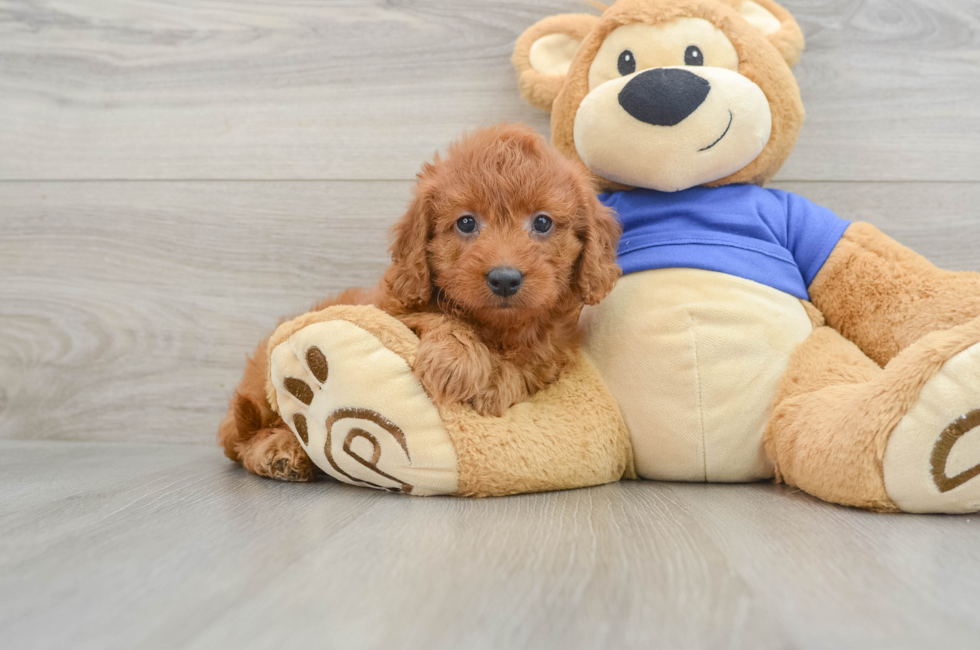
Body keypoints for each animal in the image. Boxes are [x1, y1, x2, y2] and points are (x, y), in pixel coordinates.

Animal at [220, 125, 620, 480]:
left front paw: (494, 382)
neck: (497, 328)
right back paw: (279, 450)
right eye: (466, 223)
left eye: (542, 222)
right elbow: (432, 316)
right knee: (245, 437)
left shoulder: (552, 352)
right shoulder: (390, 308)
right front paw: (458, 360)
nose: (505, 278)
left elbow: (527, 365)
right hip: (259, 396)